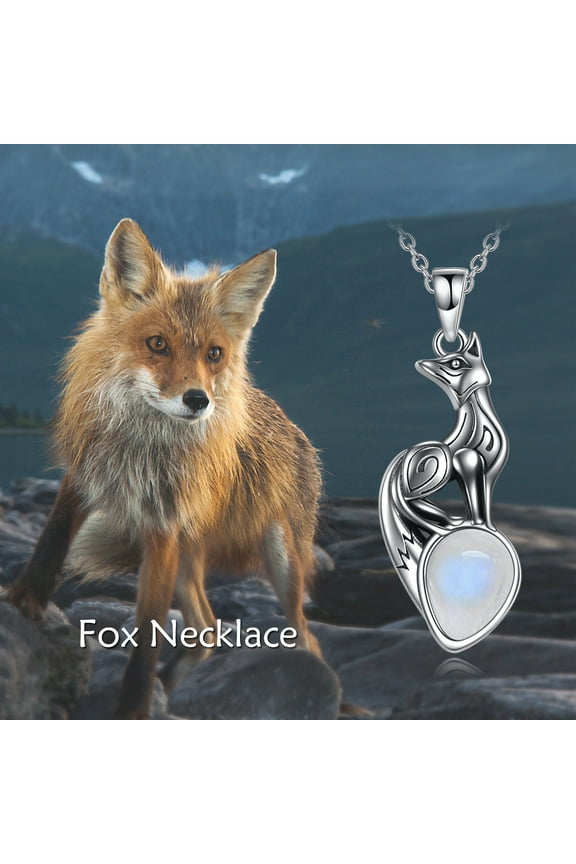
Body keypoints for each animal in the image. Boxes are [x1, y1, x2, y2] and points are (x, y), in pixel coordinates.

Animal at [5, 218, 324, 719]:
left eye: (214, 353)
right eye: (158, 344)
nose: (198, 400)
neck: (141, 448)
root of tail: (296, 429)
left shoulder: (162, 526)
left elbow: (147, 636)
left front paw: (133, 708)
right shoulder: (83, 477)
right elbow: (51, 542)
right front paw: (24, 599)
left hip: (281, 563)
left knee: (306, 638)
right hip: (189, 561)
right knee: (208, 629)